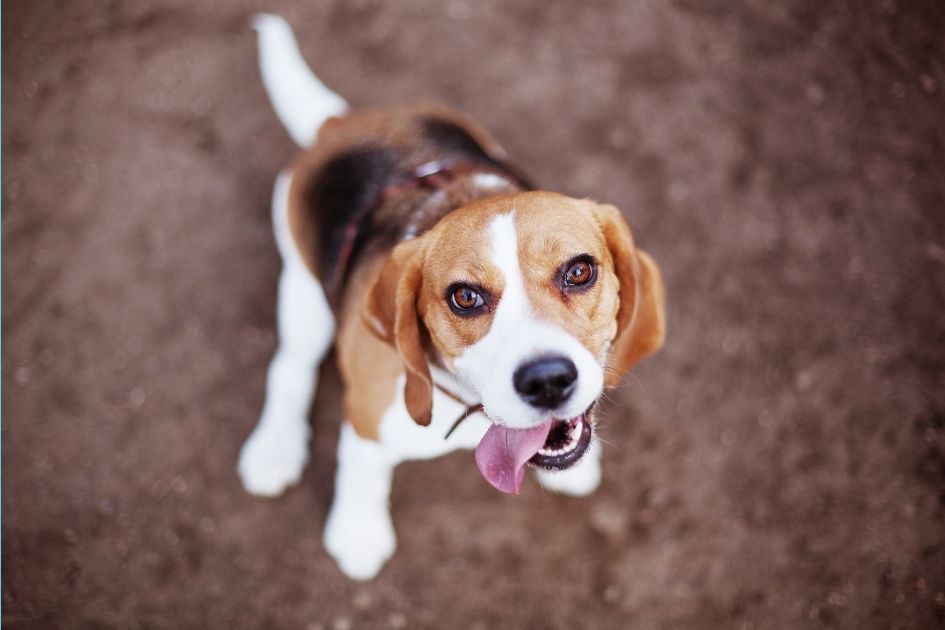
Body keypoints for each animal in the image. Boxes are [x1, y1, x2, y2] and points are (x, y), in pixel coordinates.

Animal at [236, 14, 664, 584]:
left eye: (579, 271)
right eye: (464, 297)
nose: (548, 381)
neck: (478, 412)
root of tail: (341, 123)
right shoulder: (367, 413)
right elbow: (361, 470)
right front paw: (358, 533)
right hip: (302, 290)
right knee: (289, 367)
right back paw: (273, 451)